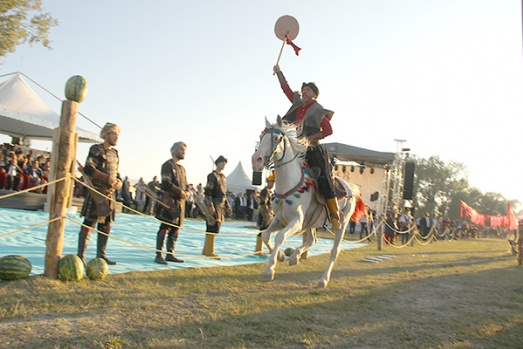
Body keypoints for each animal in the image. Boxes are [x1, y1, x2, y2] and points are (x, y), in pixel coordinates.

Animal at [252, 115, 366, 286]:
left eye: (276, 138)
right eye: (261, 136)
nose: (256, 160)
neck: (289, 184)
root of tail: (350, 187)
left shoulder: (297, 221)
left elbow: (279, 237)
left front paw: (269, 270)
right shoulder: (279, 219)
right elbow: (265, 235)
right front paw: (280, 256)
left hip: (342, 223)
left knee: (334, 250)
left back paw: (323, 280)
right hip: (313, 222)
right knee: (312, 241)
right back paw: (295, 257)